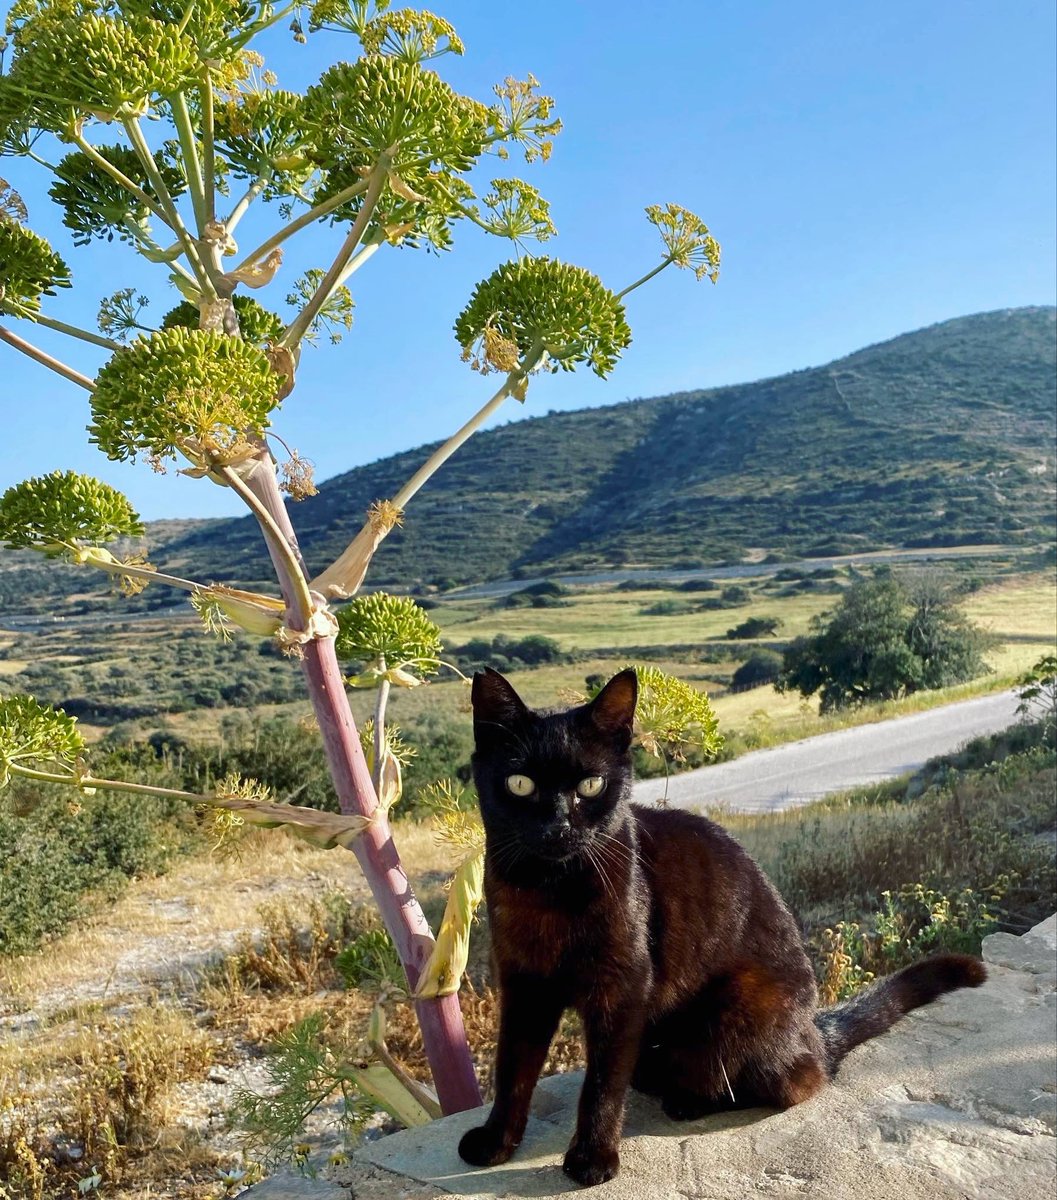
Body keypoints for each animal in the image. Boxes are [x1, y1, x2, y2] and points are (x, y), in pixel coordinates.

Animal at [458, 672, 983, 1185]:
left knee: (796, 1080)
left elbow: (602, 1084)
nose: (559, 826)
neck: (549, 889)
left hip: (741, 1003)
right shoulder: (524, 984)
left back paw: (689, 1099)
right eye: (520, 783)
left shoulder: (623, 985)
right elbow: (513, 1069)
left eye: (590, 784)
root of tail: (814, 1031)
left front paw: (593, 1157)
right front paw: (497, 1141)